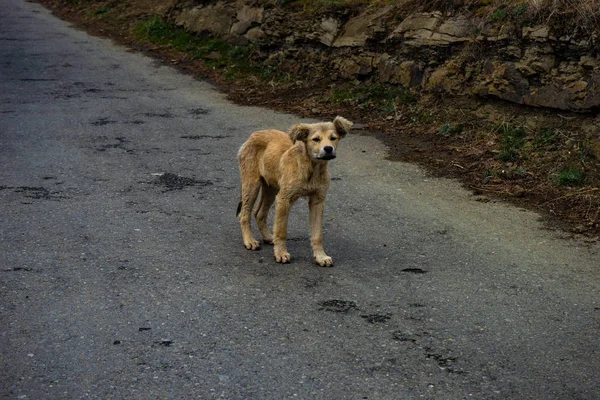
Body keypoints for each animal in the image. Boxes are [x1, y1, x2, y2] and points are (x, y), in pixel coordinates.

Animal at [238, 115, 354, 266]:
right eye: (316, 139)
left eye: (333, 138)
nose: (328, 149)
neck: (312, 169)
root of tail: (253, 135)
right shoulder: (284, 199)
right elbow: (281, 230)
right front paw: (281, 253)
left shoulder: (318, 201)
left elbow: (317, 234)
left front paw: (320, 256)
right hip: (251, 184)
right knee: (244, 213)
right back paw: (249, 241)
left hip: (271, 188)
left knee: (259, 213)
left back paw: (268, 237)